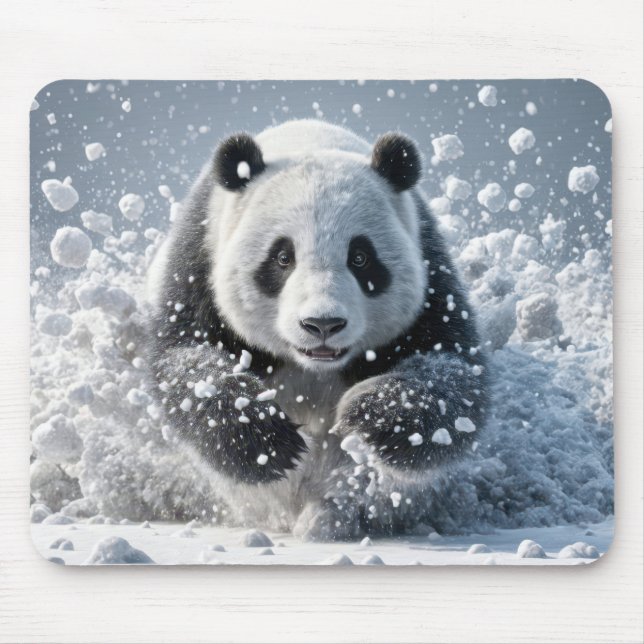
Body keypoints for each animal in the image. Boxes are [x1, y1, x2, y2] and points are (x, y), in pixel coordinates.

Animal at [147, 120, 488, 540]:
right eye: (282, 257)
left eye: (360, 257)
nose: (322, 324)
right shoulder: (198, 264)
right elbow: (187, 363)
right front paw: (268, 442)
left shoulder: (430, 272)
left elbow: (453, 379)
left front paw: (368, 418)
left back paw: (327, 518)